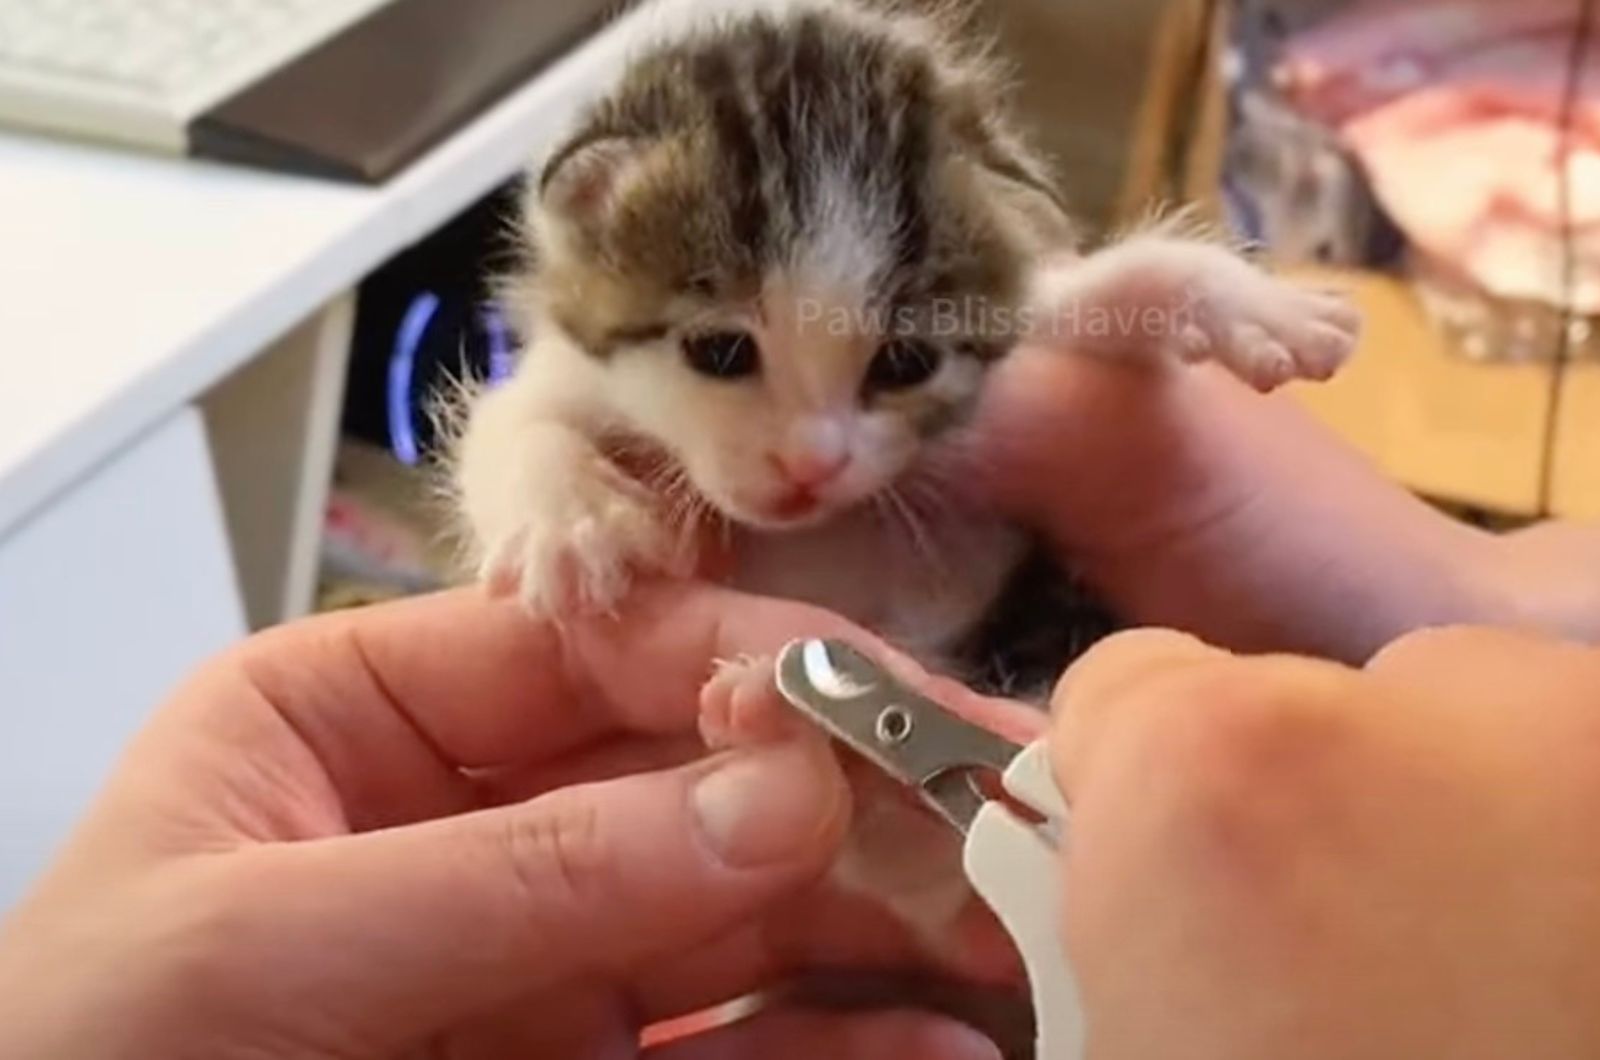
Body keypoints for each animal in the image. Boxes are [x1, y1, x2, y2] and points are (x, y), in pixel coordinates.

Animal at [454, 0, 1363, 688]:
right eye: (719, 352)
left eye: (904, 363)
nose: (811, 468)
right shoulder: (566, 367)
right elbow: (508, 423)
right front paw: (571, 521)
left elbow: (1096, 292)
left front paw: (1243, 301)